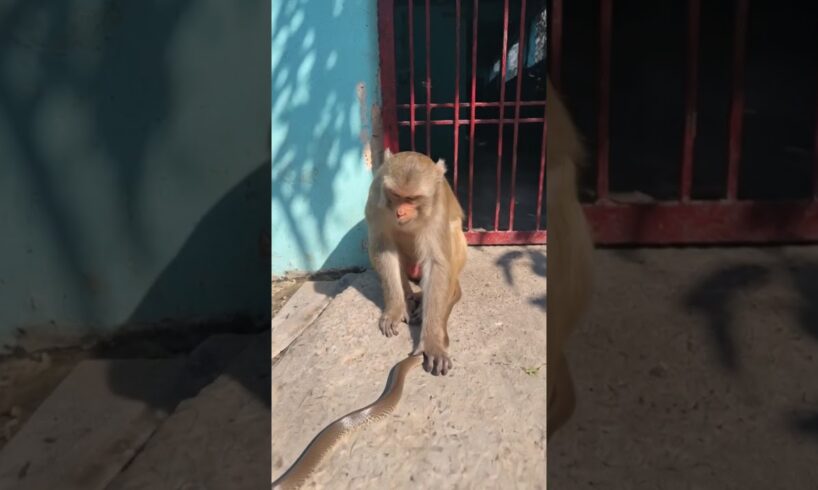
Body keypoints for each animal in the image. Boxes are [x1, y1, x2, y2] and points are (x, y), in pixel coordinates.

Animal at [365, 150, 468, 376]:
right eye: (396, 195)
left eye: (411, 198)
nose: (400, 212)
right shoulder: (376, 198)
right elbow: (383, 249)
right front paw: (395, 308)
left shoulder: (438, 209)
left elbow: (437, 263)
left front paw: (432, 341)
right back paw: (409, 297)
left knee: (453, 232)